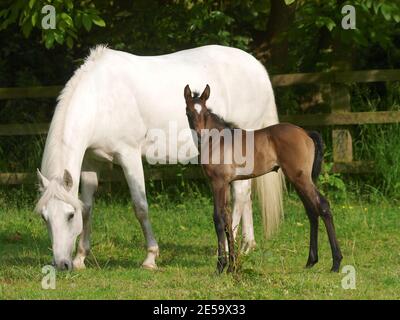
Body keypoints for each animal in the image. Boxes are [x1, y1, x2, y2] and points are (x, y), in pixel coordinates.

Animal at [35, 44, 284, 270]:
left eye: (69, 215)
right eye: (44, 218)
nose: (61, 263)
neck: (100, 99)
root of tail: (258, 69)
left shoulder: (129, 155)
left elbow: (140, 206)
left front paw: (150, 258)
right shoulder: (91, 160)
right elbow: (87, 207)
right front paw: (81, 257)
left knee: (240, 196)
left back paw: (222, 250)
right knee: (245, 194)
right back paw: (247, 246)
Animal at [184, 84, 344, 272]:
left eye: (205, 113)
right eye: (188, 112)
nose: (200, 135)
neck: (218, 141)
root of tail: (306, 133)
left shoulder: (218, 183)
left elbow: (218, 218)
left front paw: (221, 266)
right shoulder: (226, 183)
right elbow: (228, 219)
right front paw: (232, 266)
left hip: (301, 179)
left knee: (323, 206)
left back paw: (336, 262)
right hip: (298, 180)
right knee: (312, 211)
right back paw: (311, 261)